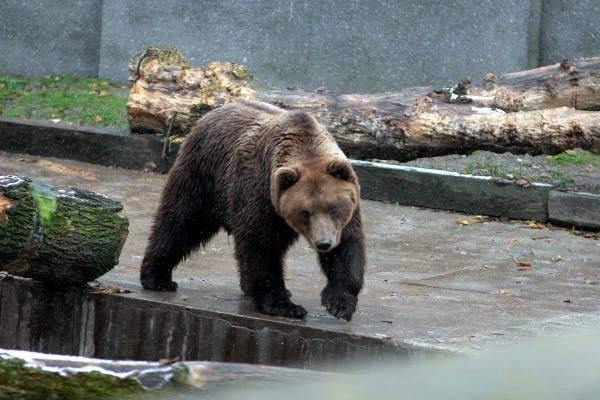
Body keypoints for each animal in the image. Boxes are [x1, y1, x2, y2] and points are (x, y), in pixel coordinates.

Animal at [141, 101, 366, 322]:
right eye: (304, 212)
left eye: (333, 207)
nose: (323, 243)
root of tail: (210, 114)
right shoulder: (260, 196)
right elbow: (261, 246)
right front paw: (284, 306)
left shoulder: (345, 216)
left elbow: (346, 247)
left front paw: (339, 303)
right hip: (203, 177)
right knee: (181, 223)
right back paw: (158, 278)